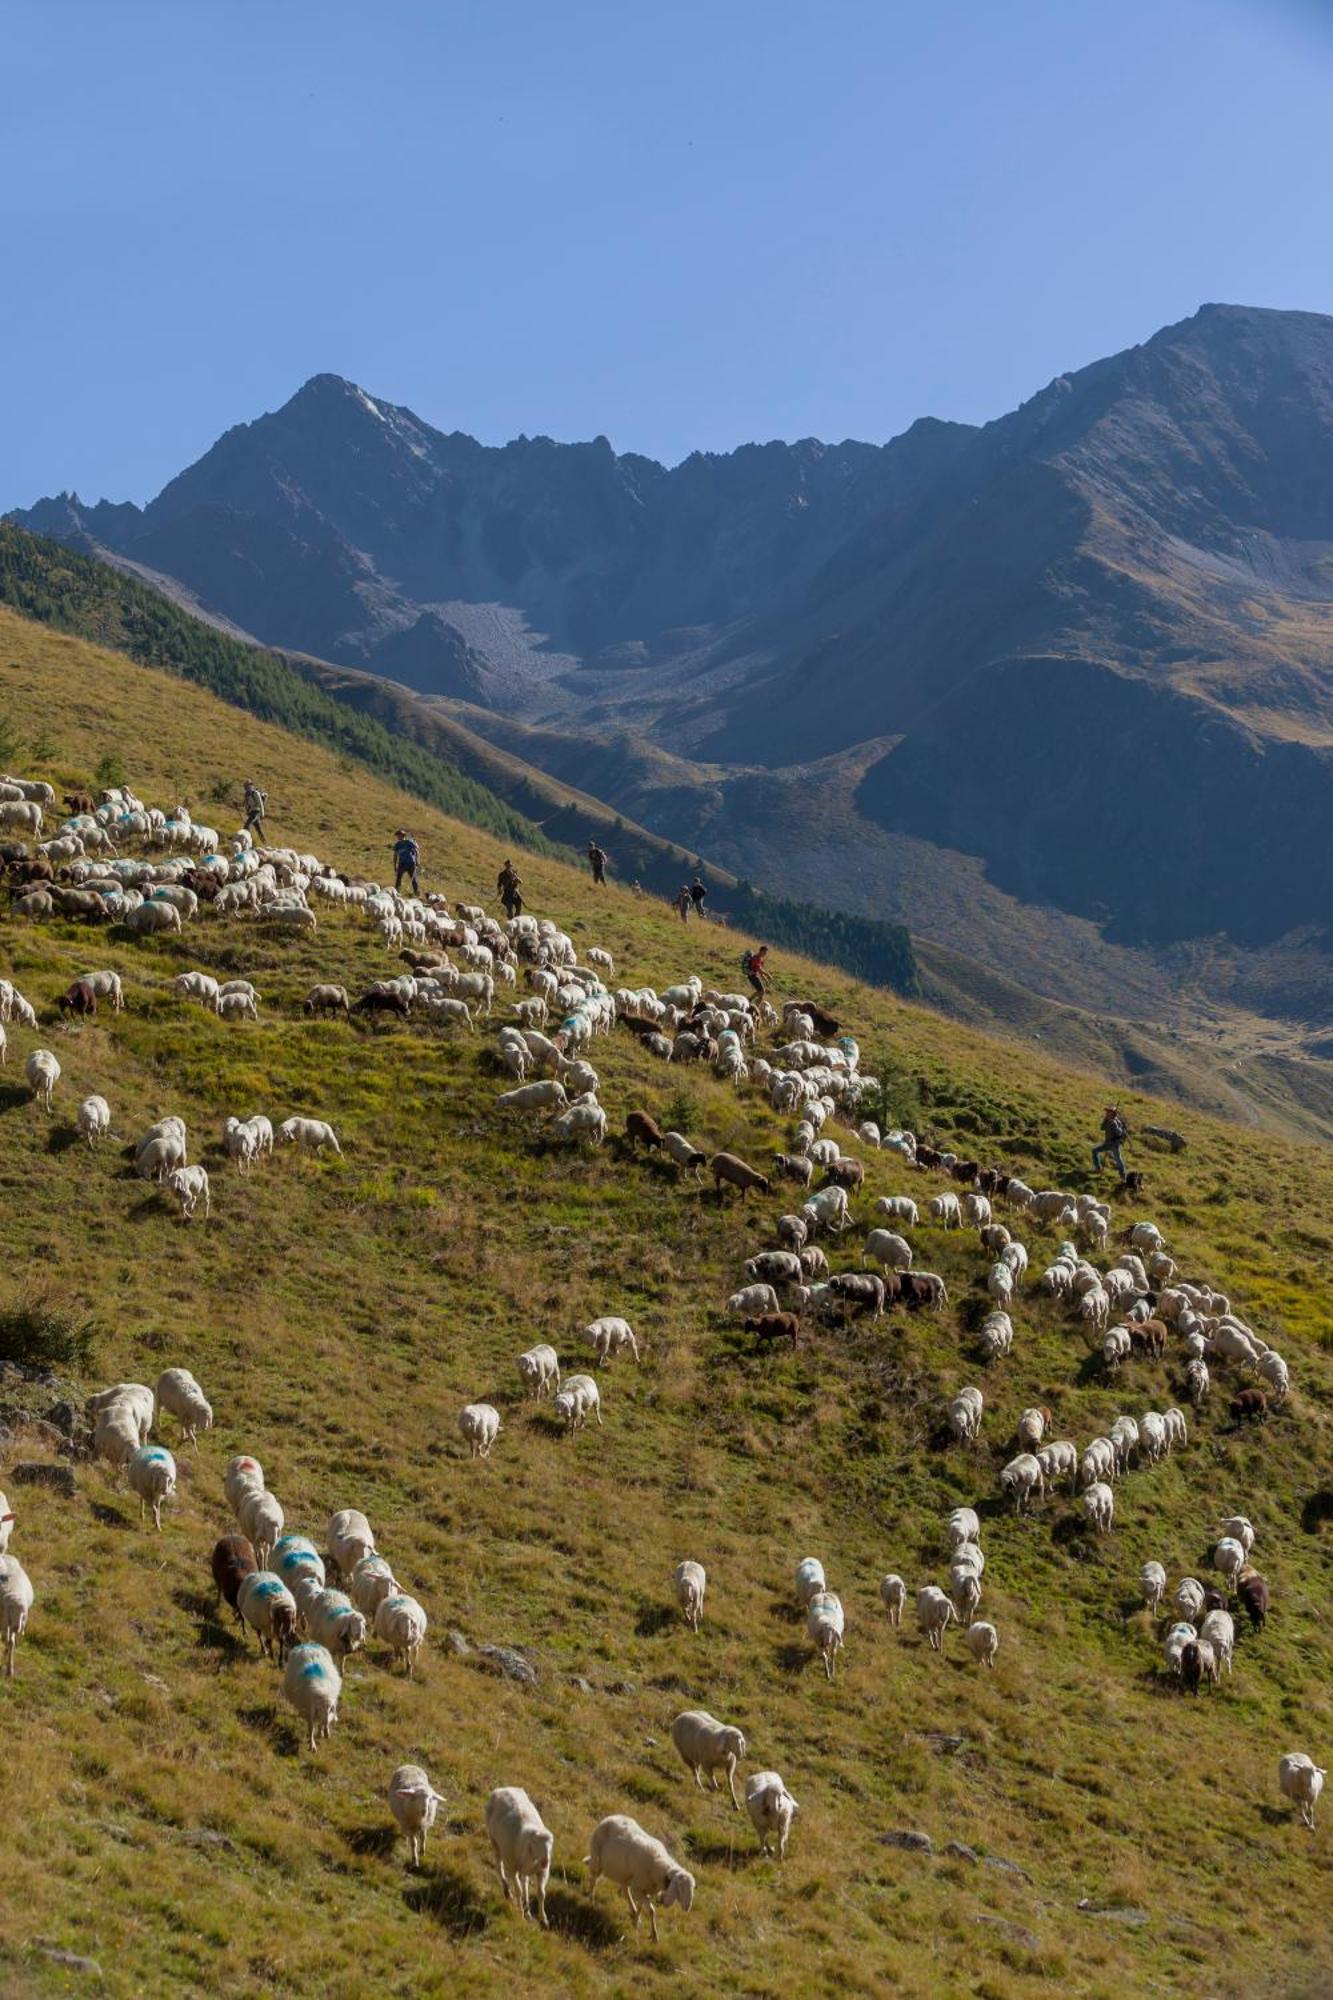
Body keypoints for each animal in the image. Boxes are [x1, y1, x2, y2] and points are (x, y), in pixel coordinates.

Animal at [486, 1784, 552, 1920]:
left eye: (550, 1846)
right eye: (535, 1844)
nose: (546, 1861)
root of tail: (503, 1788)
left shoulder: (542, 1872)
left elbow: (541, 1893)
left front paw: (543, 1918)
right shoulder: (512, 1867)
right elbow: (518, 1890)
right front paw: (520, 1913)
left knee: (525, 1880)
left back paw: (527, 1910)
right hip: (495, 1843)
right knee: (499, 1866)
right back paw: (507, 1892)